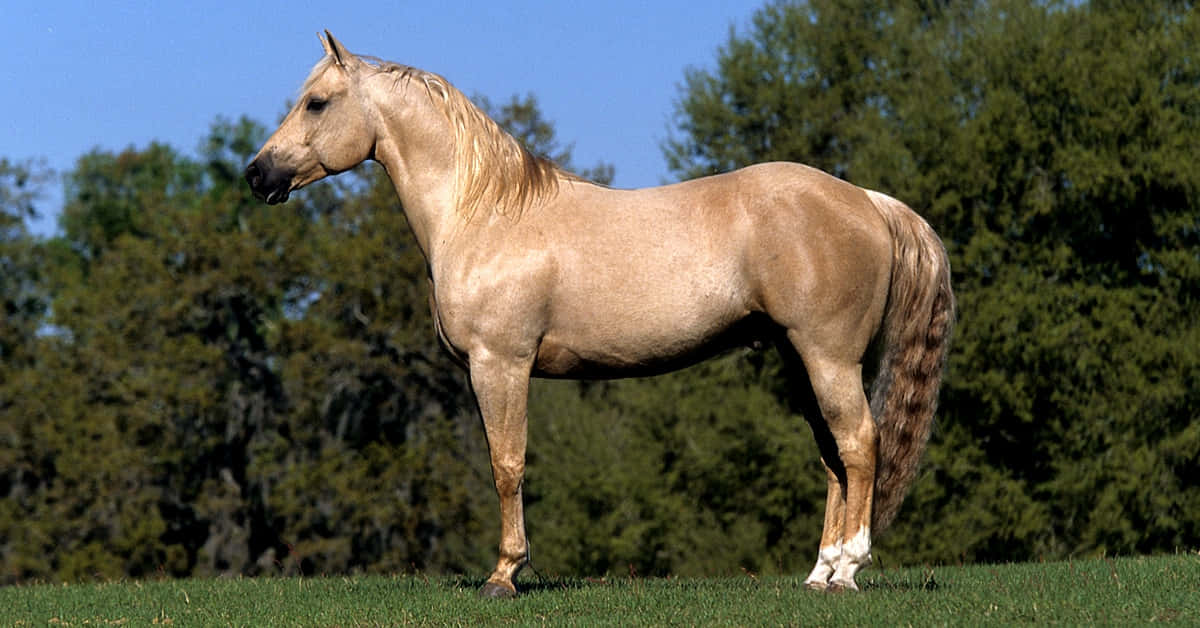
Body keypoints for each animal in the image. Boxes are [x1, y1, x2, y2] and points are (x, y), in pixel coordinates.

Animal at [245, 32, 954, 597]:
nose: (257, 175)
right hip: (799, 358)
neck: (482, 214)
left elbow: (507, 465)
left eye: (316, 102)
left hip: (827, 356)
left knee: (859, 443)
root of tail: (867, 200)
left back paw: (850, 568)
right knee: (834, 455)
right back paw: (822, 572)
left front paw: (504, 575)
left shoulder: (500, 364)